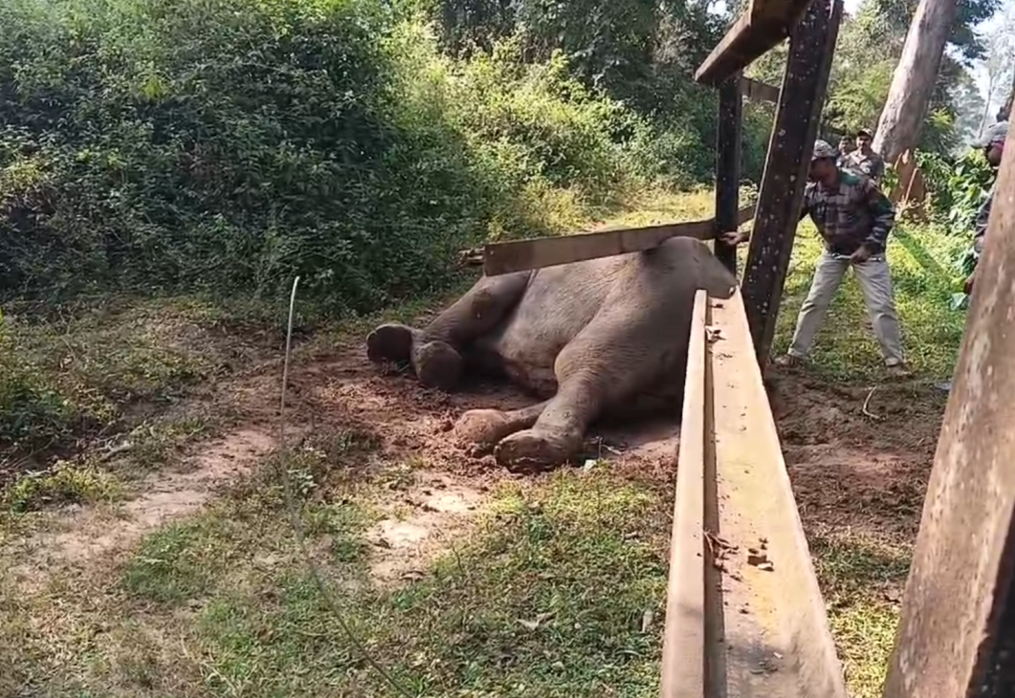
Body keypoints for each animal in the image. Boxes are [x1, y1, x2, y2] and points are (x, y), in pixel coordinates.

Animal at [367, 237, 738, 470]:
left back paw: (523, 449)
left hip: (650, 296)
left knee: (581, 364)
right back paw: (478, 427)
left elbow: (483, 299)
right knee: (603, 392)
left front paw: (430, 362)